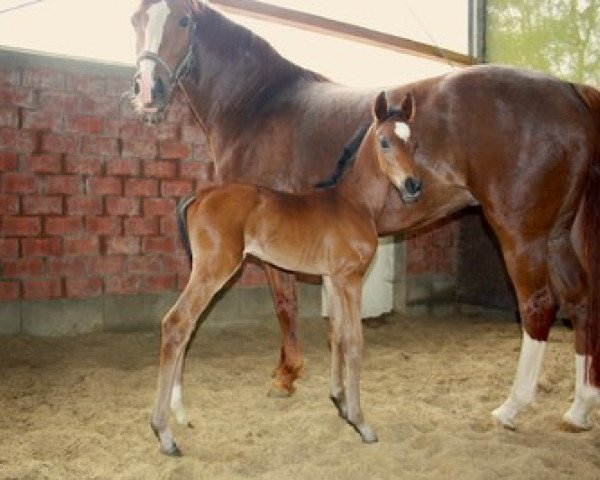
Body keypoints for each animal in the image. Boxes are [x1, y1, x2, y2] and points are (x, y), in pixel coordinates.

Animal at [152, 92, 420, 456]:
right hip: (214, 270)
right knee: (177, 323)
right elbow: (354, 342)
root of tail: (202, 194)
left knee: (187, 325)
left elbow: (335, 334)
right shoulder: (351, 279)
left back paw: (179, 413)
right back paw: (164, 434)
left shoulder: (332, 279)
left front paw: (340, 403)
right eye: (385, 142)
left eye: (414, 143)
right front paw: (361, 423)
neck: (353, 203)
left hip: (204, 272)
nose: (413, 185)